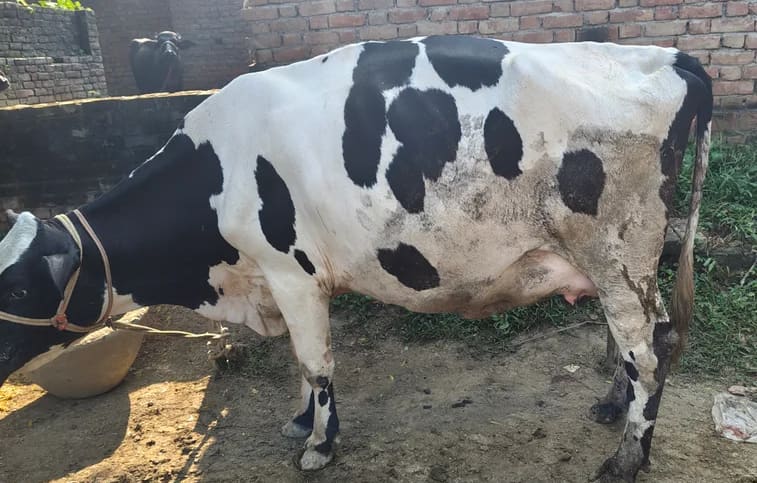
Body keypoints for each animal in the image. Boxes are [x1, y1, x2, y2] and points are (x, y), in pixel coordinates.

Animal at [0, 36, 711, 482]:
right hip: (611, 262)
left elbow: (316, 364)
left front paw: (319, 443)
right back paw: (612, 409)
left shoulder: (291, 272)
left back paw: (627, 458)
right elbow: (300, 363)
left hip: (620, 249)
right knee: (630, 343)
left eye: (19, 290)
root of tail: (669, 56)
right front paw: (298, 422)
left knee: (651, 348)